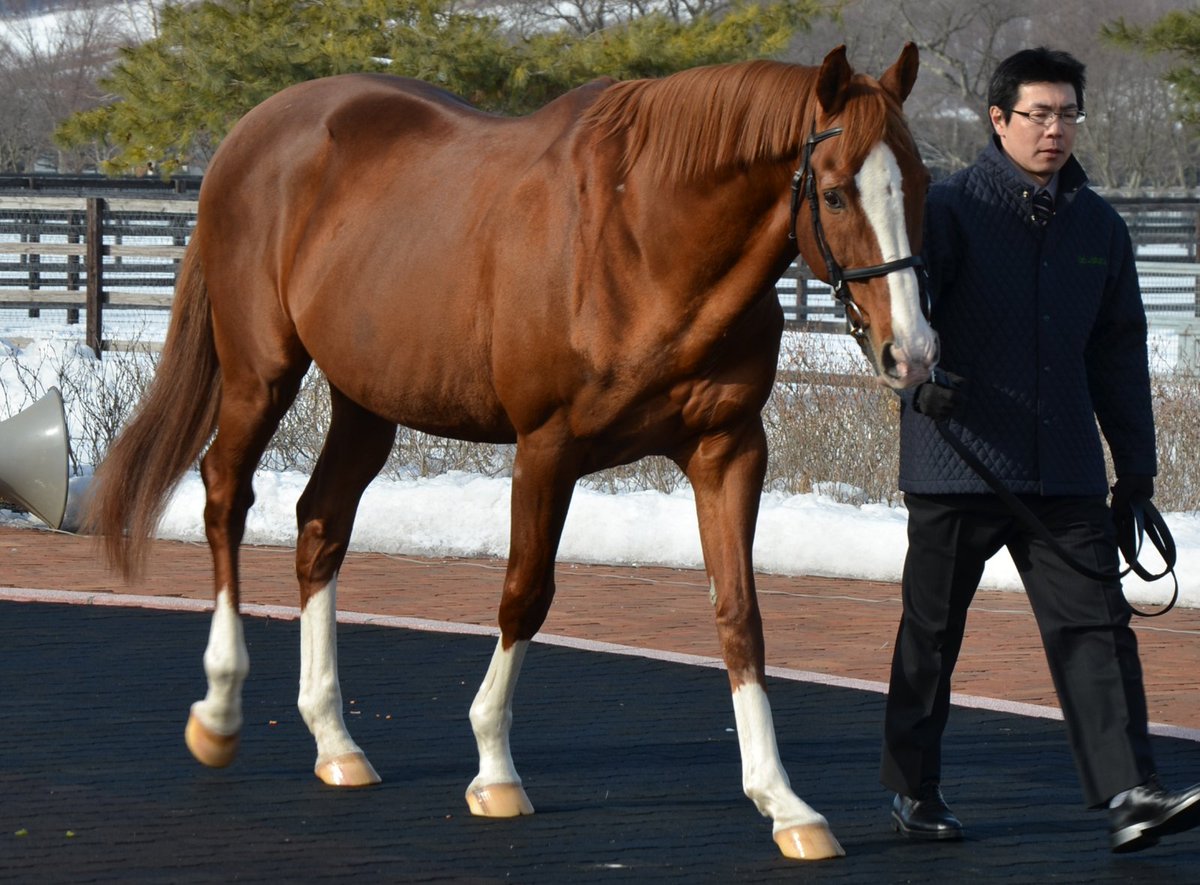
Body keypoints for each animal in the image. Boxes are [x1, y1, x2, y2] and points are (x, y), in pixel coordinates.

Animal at [86, 43, 937, 861]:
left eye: (921, 183)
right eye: (835, 193)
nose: (914, 352)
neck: (640, 240)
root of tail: (249, 134)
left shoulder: (727, 449)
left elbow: (740, 613)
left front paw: (783, 802)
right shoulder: (547, 447)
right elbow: (525, 593)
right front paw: (494, 768)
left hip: (368, 402)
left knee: (320, 525)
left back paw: (336, 742)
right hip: (260, 373)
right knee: (225, 493)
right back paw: (220, 710)